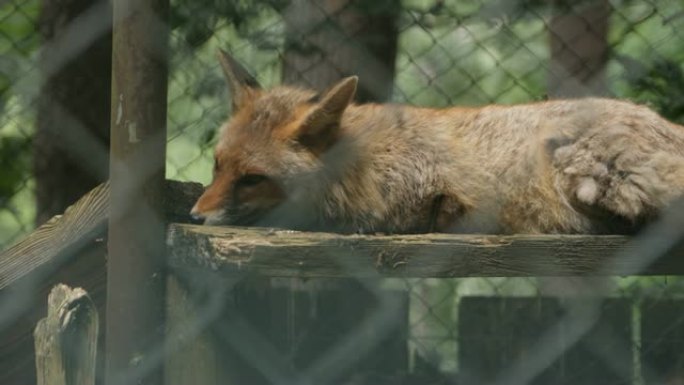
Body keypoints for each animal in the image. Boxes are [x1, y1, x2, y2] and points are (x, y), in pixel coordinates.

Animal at [190, 49, 684, 232]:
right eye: (217, 166)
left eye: (252, 179)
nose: (194, 216)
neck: (363, 167)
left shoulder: (427, 189)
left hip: (582, 170)